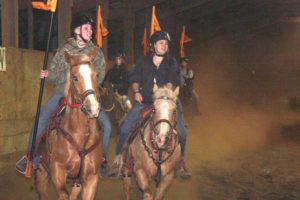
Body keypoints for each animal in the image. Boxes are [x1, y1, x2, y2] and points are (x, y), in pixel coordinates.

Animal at [33, 48, 102, 200]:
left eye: (95, 75)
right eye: (75, 77)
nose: (93, 108)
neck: (79, 135)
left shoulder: (91, 178)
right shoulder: (57, 172)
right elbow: (63, 194)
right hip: (41, 174)